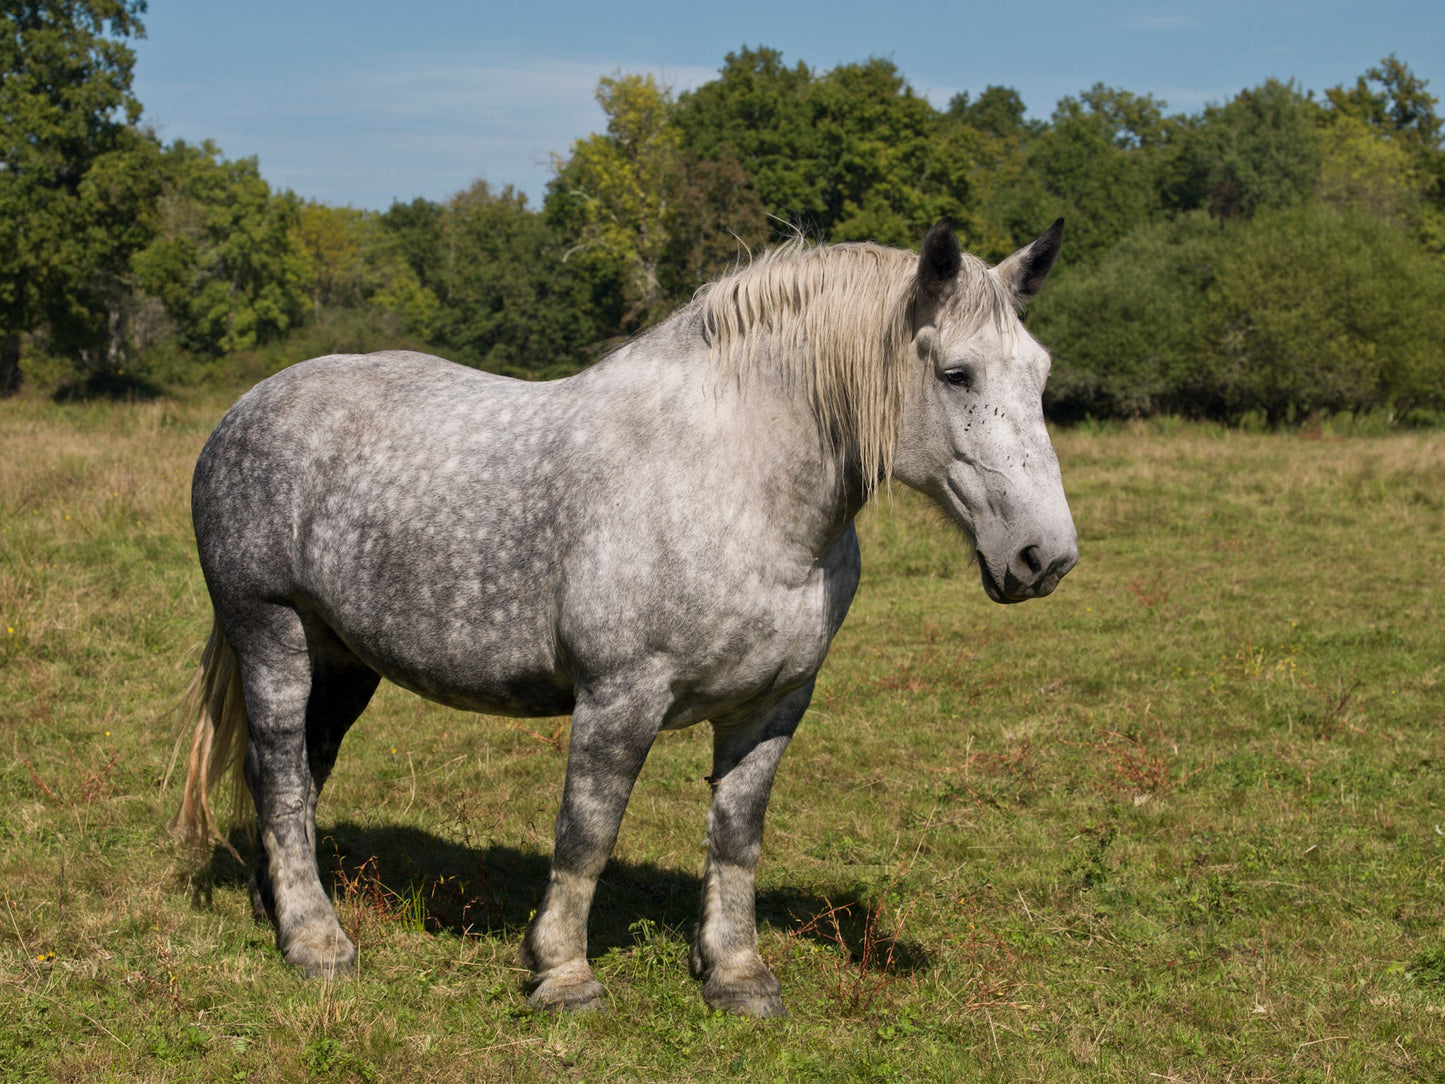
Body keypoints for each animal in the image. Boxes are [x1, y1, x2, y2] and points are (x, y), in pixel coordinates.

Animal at [171, 218, 1075, 1017]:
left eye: (1038, 373)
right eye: (955, 374)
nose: (1045, 558)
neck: (735, 484)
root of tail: (245, 409)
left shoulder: (773, 705)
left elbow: (735, 837)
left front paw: (736, 975)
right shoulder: (618, 698)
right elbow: (586, 834)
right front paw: (562, 975)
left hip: (344, 658)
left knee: (300, 770)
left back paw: (278, 910)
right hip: (272, 633)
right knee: (283, 775)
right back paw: (316, 944)